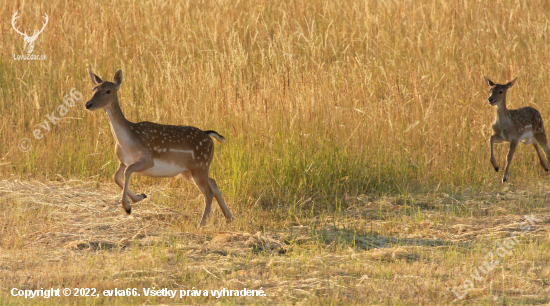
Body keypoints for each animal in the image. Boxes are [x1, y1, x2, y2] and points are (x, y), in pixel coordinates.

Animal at [85, 69, 234, 227]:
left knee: (208, 192)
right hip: (190, 170)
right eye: (94, 89)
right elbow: (116, 176)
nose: (88, 104)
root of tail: (208, 135)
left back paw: (202, 223)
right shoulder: (122, 161)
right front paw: (140, 197)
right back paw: (229, 217)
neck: (128, 141)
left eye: (108, 91)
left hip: (200, 165)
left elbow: (127, 172)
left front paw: (127, 207)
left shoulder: (147, 159)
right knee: (213, 182)